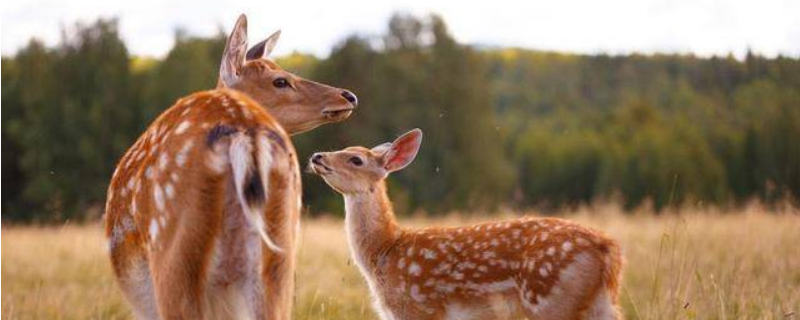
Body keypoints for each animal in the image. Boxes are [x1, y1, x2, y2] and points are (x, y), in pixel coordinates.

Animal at [310, 130, 620, 320]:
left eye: (356, 159)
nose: (317, 156)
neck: (385, 250)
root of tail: (608, 248)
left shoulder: (417, 308)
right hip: (600, 303)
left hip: (550, 299)